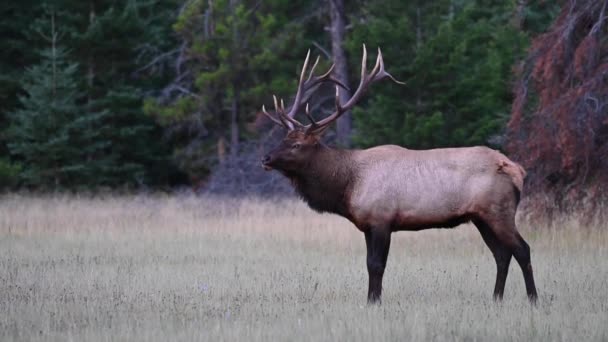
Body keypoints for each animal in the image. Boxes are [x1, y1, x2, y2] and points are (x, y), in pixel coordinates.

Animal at [260, 45, 536, 304]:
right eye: (284, 138)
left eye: (297, 145)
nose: (266, 158)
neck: (348, 185)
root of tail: (515, 168)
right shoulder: (368, 225)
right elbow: (369, 264)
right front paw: (371, 299)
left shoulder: (382, 219)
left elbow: (376, 265)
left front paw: (374, 301)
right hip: (481, 217)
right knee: (502, 254)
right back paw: (496, 298)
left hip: (499, 211)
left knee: (522, 249)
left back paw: (533, 299)